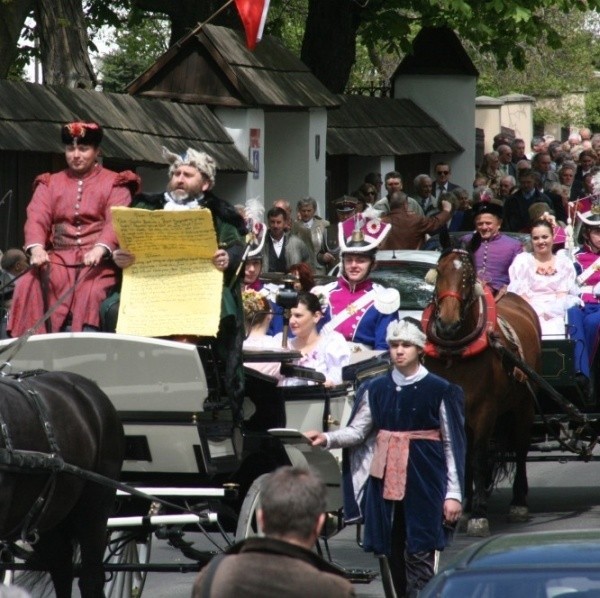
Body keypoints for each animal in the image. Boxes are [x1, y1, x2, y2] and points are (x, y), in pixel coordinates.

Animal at [424, 248, 540, 540]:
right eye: (439, 272)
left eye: (469, 276)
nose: (447, 324)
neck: (456, 354)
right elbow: (459, 455)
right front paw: (463, 508)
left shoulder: (485, 412)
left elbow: (477, 457)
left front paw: (478, 515)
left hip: (523, 405)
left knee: (520, 447)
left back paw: (518, 502)